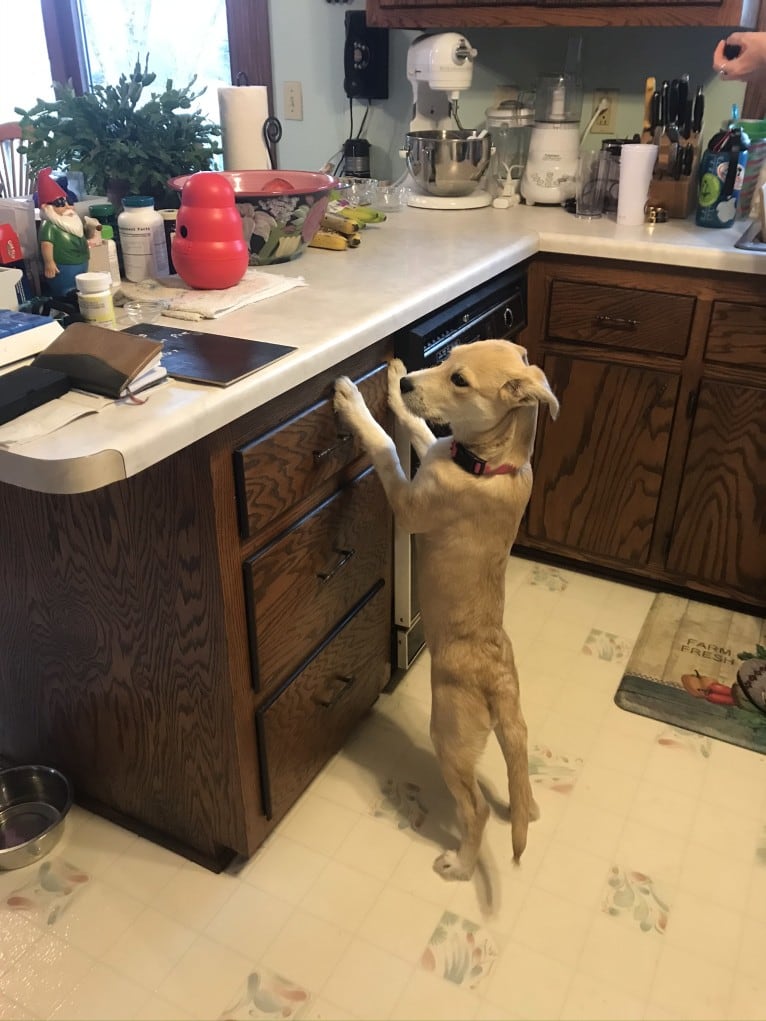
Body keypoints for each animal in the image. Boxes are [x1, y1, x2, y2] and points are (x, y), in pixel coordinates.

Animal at [332, 336, 559, 878]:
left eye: (460, 380)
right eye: (448, 356)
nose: (411, 381)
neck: (490, 464)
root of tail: (498, 683)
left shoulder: (409, 504)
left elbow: (385, 447)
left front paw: (354, 399)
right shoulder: (433, 446)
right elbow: (415, 429)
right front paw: (394, 380)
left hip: (449, 737)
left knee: (475, 811)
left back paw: (459, 865)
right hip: (511, 734)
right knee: (519, 786)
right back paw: (526, 808)